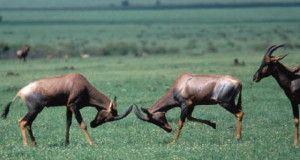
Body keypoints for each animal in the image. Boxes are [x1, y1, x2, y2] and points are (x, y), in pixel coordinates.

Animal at [1, 73, 132, 146]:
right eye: (107, 117)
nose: (93, 124)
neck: (82, 84)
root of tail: (20, 92)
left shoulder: (68, 107)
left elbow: (68, 123)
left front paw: (66, 143)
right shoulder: (74, 106)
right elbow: (82, 124)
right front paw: (92, 143)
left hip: (35, 111)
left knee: (28, 123)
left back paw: (34, 143)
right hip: (35, 109)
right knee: (23, 122)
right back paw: (26, 145)